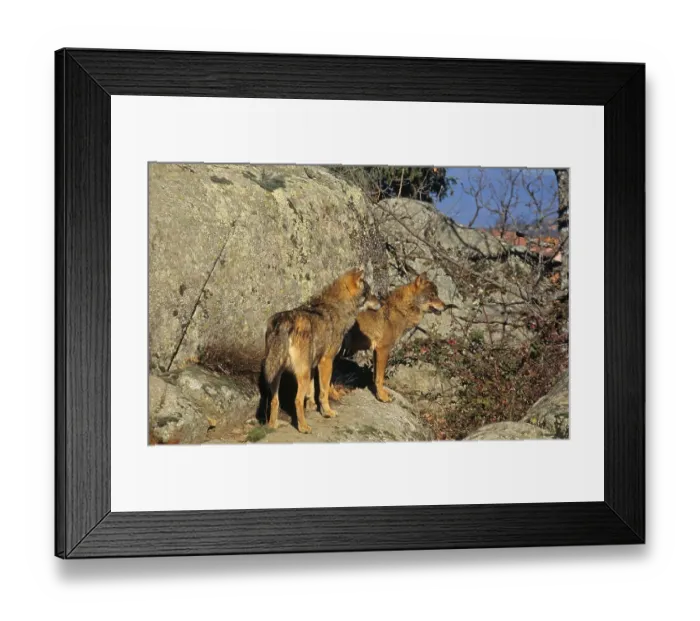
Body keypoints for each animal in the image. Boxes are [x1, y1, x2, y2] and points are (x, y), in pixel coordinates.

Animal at [258, 267, 380, 434]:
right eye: (369, 292)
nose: (381, 303)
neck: (336, 307)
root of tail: (284, 321)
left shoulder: (313, 365)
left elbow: (311, 393)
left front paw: (312, 407)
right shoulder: (326, 362)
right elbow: (324, 392)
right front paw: (328, 412)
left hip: (277, 374)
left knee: (274, 401)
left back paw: (273, 425)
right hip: (301, 374)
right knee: (297, 400)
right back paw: (303, 427)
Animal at [343, 272, 447, 403]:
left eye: (437, 294)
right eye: (432, 295)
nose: (446, 306)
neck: (400, 311)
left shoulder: (376, 351)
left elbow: (375, 376)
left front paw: (379, 394)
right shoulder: (383, 350)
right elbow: (380, 377)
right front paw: (383, 397)